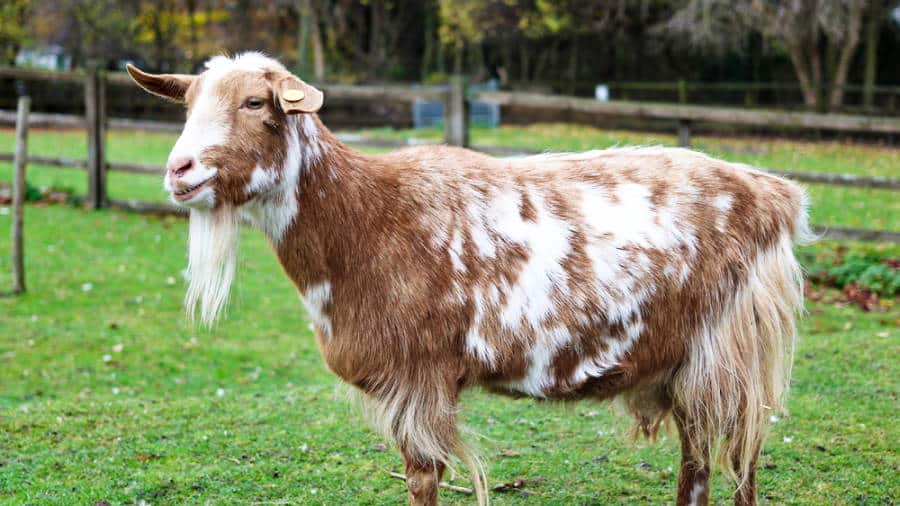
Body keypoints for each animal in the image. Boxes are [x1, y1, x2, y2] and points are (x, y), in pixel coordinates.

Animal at [128, 52, 809, 506]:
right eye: (188, 105)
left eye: (254, 102)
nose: (179, 170)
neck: (364, 218)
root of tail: (776, 194)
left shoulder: (420, 374)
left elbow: (424, 477)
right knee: (701, 463)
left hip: (729, 348)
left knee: (740, 461)